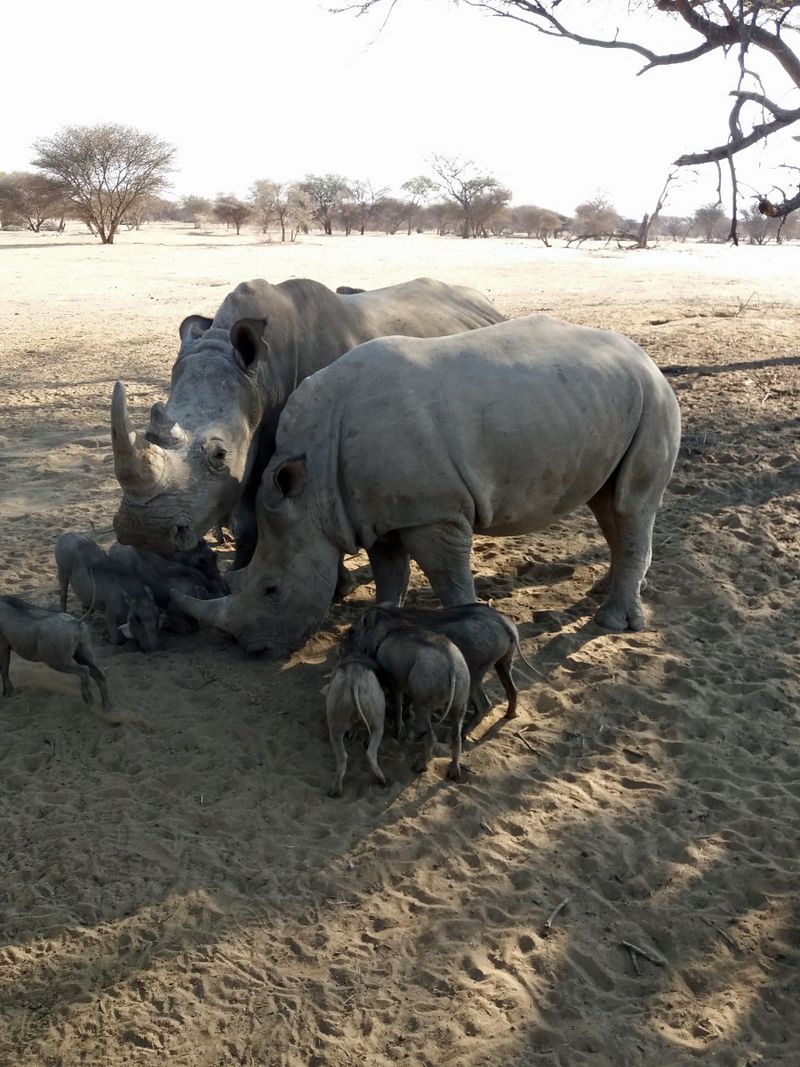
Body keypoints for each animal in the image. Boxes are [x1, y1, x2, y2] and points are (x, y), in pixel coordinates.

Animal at [111, 276, 505, 569]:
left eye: (219, 454)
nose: (144, 533)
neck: (263, 376)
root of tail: (485, 304)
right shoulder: (251, 437)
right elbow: (246, 521)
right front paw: (238, 575)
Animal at [172, 314, 681, 656]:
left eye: (272, 591)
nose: (253, 649)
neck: (310, 487)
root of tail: (645, 356)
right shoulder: (369, 510)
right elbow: (390, 571)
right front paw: (377, 620)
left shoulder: (433, 513)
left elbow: (449, 578)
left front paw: (470, 626)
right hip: (604, 399)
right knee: (608, 503)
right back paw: (603, 593)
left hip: (655, 400)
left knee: (631, 504)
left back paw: (612, 622)